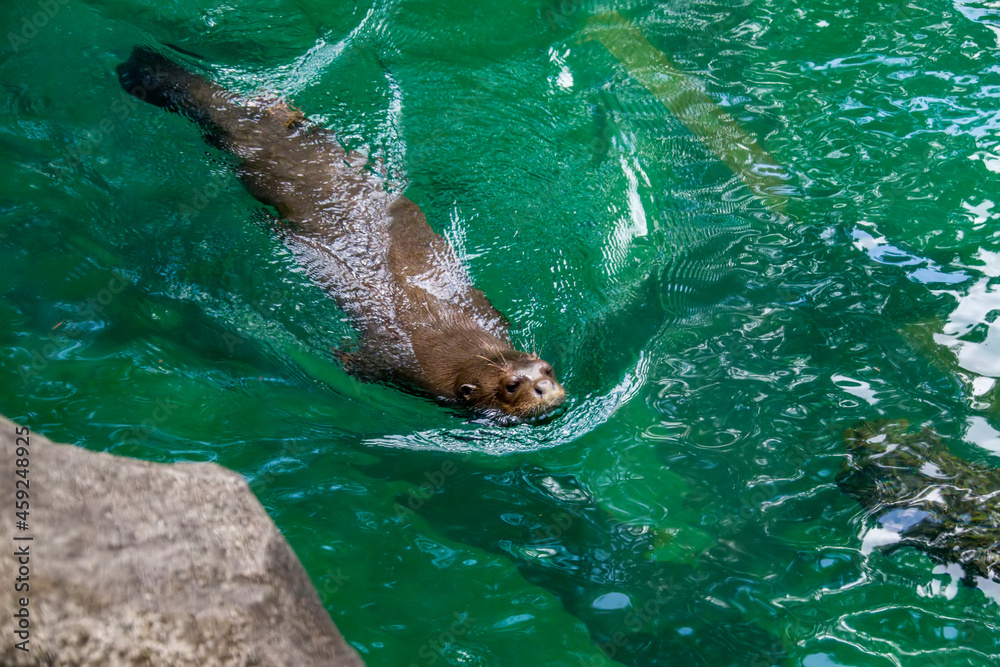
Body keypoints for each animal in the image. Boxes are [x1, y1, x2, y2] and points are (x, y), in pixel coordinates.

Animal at [117, 47, 565, 420]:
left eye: (546, 368)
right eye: (512, 386)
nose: (544, 388)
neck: (462, 346)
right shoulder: (401, 360)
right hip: (253, 170)